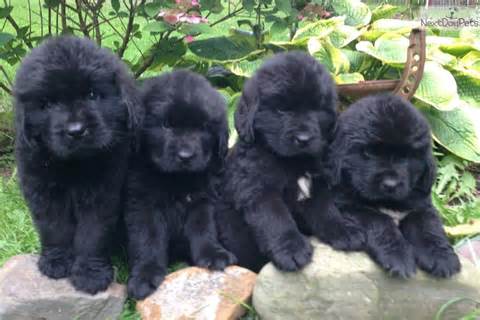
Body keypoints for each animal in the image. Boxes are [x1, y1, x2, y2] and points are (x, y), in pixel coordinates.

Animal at [14, 36, 138, 294]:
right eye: (47, 104)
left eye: (92, 94)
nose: (76, 131)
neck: (73, 165)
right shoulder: (42, 190)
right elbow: (54, 227)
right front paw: (56, 262)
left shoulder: (102, 193)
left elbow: (92, 234)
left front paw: (90, 275)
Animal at [124, 70, 235, 300]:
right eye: (166, 125)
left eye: (203, 127)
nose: (185, 156)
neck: (177, 179)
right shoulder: (143, 204)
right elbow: (147, 239)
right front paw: (145, 275)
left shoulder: (203, 199)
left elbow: (204, 228)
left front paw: (213, 254)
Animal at [216, 51, 336, 272]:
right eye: (281, 110)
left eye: (316, 109)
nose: (304, 139)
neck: (292, 162)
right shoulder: (259, 190)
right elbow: (276, 220)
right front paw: (292, 251)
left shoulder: (317, 184)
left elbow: (326, 209)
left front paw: (344, 230)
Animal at [312, 94, 462, 278]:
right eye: (368, 152)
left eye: (406, 156)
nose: (390, 184)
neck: (388, 202)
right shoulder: (348, 206)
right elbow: (380, 221)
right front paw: (399, 257)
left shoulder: (420, 206)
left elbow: (428, 227)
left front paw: (441, 257)